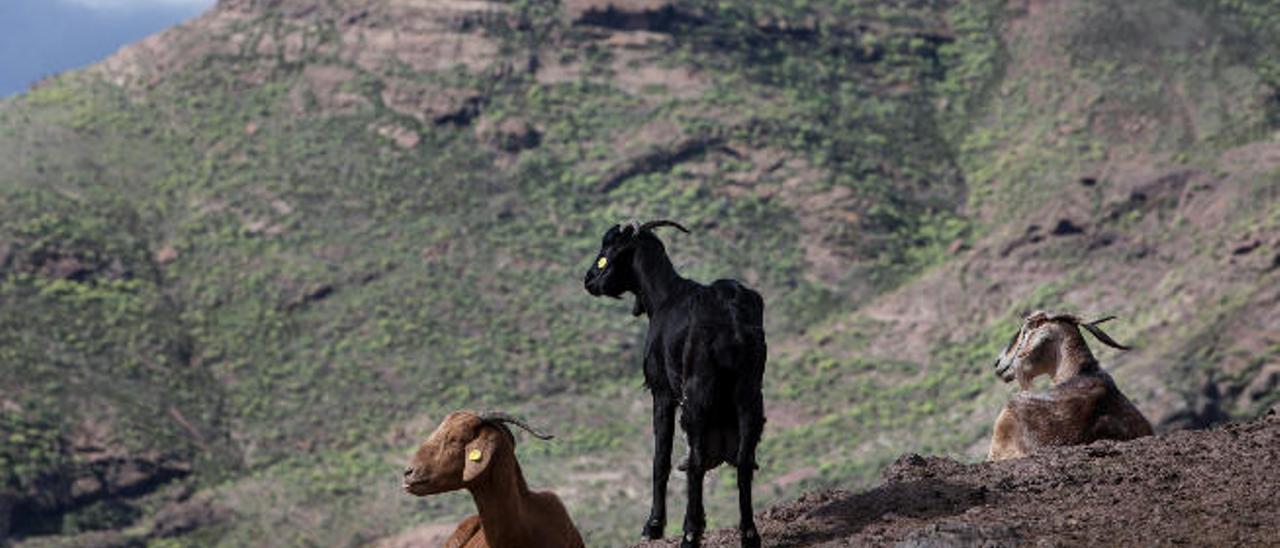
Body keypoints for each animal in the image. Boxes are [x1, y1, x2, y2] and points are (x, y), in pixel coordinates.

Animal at [586, 218, 762, 548]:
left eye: (607, 247)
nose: (589, 279)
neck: (664, 297)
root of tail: (730, 317)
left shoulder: (662, 391)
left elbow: (661, 457)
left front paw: (654, 526)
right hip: (749, 390)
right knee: (743, 458)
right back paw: (748, 533)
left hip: (699, 390)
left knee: (697, 460)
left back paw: (689, 534)